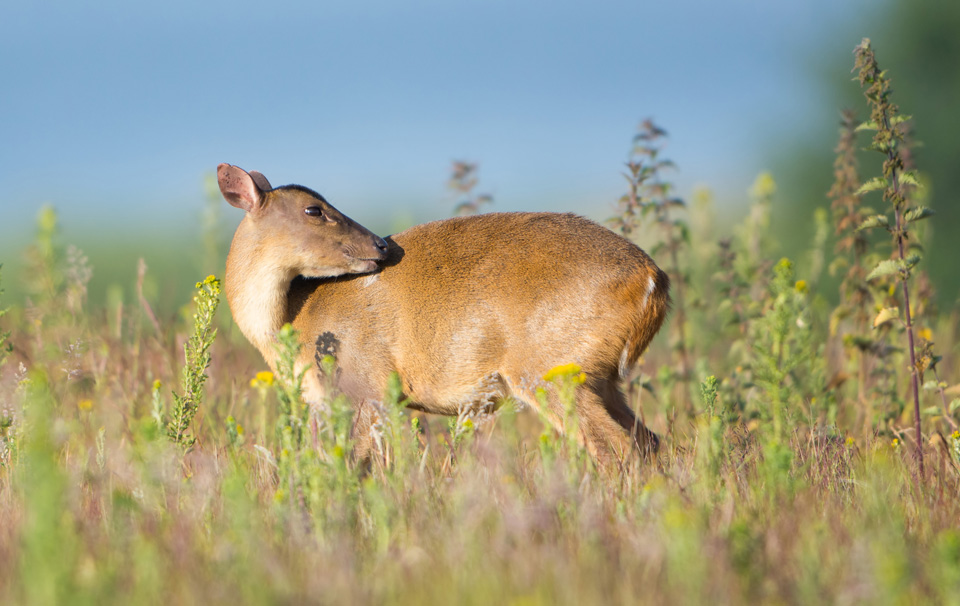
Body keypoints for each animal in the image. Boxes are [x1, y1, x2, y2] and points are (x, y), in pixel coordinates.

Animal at [217, 165, 668, 470]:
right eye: (314, 210)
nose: (381, 245)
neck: (292, 320)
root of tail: (653, 281)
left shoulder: (363, 385)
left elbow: (351, 465)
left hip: (549, 369)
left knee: (617, 448)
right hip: (601, 378)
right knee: (650, 441)